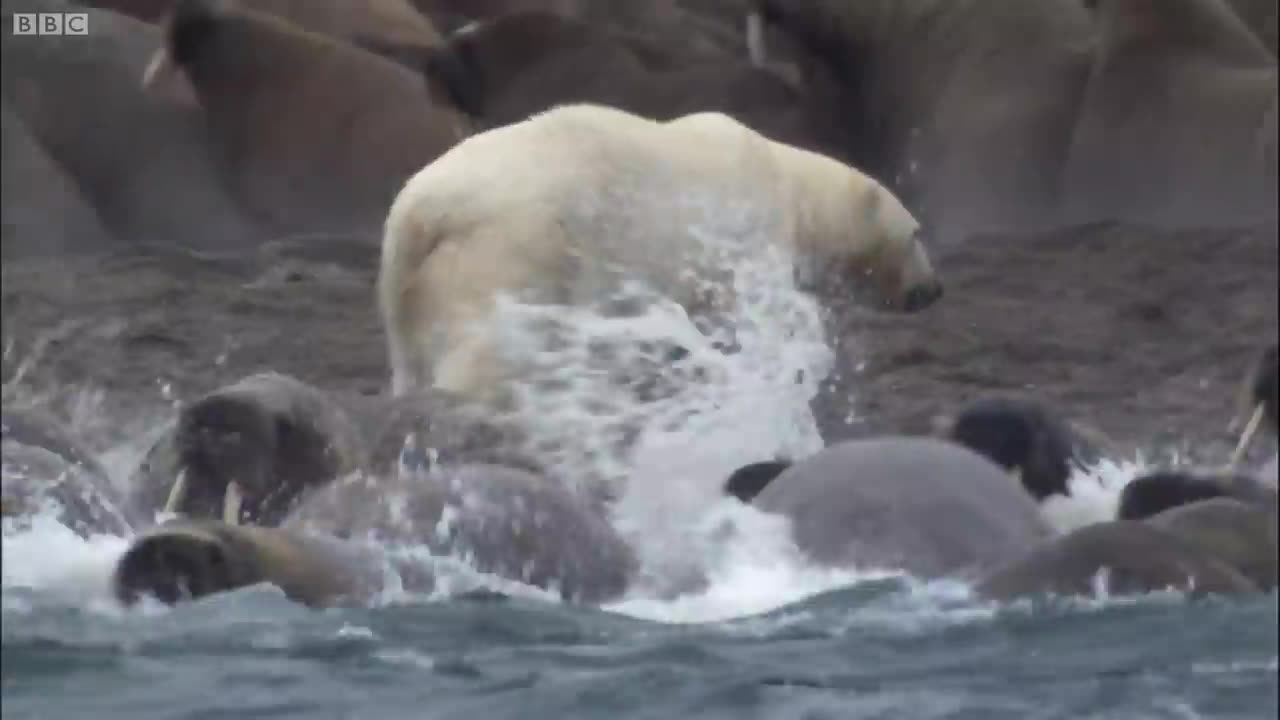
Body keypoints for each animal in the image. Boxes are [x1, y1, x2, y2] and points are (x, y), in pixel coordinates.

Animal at [373, 104, 947, 399]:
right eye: (917, 233)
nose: (933, 289)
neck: (788, 184)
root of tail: (419, 209)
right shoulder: (741, 231)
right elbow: (742, 308)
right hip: (510, 246)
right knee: (484, 347)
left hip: (407, 286)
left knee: (409, 359)